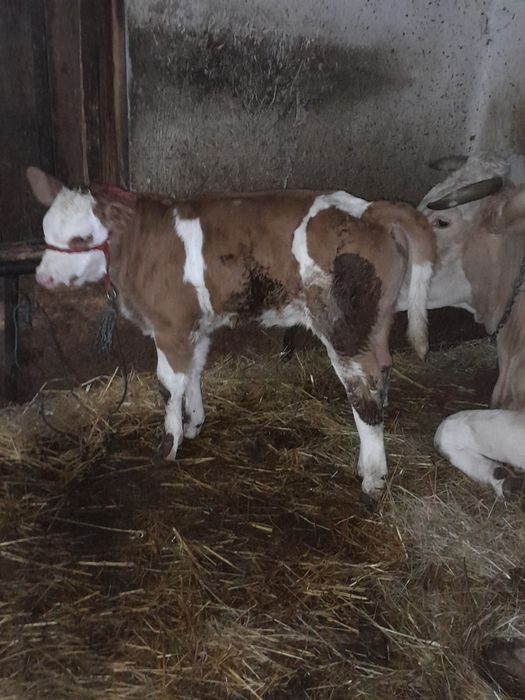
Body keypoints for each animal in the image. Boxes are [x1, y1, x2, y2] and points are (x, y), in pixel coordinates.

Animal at [26, 166, 435, 498]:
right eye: (45, 230)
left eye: (81, 238)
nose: (42, 278)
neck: (140, 245)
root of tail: (368, 209)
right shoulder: (195, 325)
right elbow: (193, 372)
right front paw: (194, 423)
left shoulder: (170, 325)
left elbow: (168, 385)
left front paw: (168, 445)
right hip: (375, 320)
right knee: (383, 368)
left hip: (343, 326)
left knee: (361, 389)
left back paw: (372, 474)